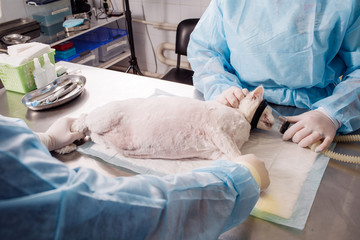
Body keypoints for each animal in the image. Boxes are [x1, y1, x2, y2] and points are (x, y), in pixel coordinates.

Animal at [71, 86, 274, 161]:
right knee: (85, 118)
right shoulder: (216, 129)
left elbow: (231, 155)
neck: (243, 118)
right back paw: (73, 129)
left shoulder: (217, 152)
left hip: (102, 136)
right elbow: (236, 152)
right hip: (104, 118)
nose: (275, 121)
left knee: (92, 132)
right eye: (269, 111)